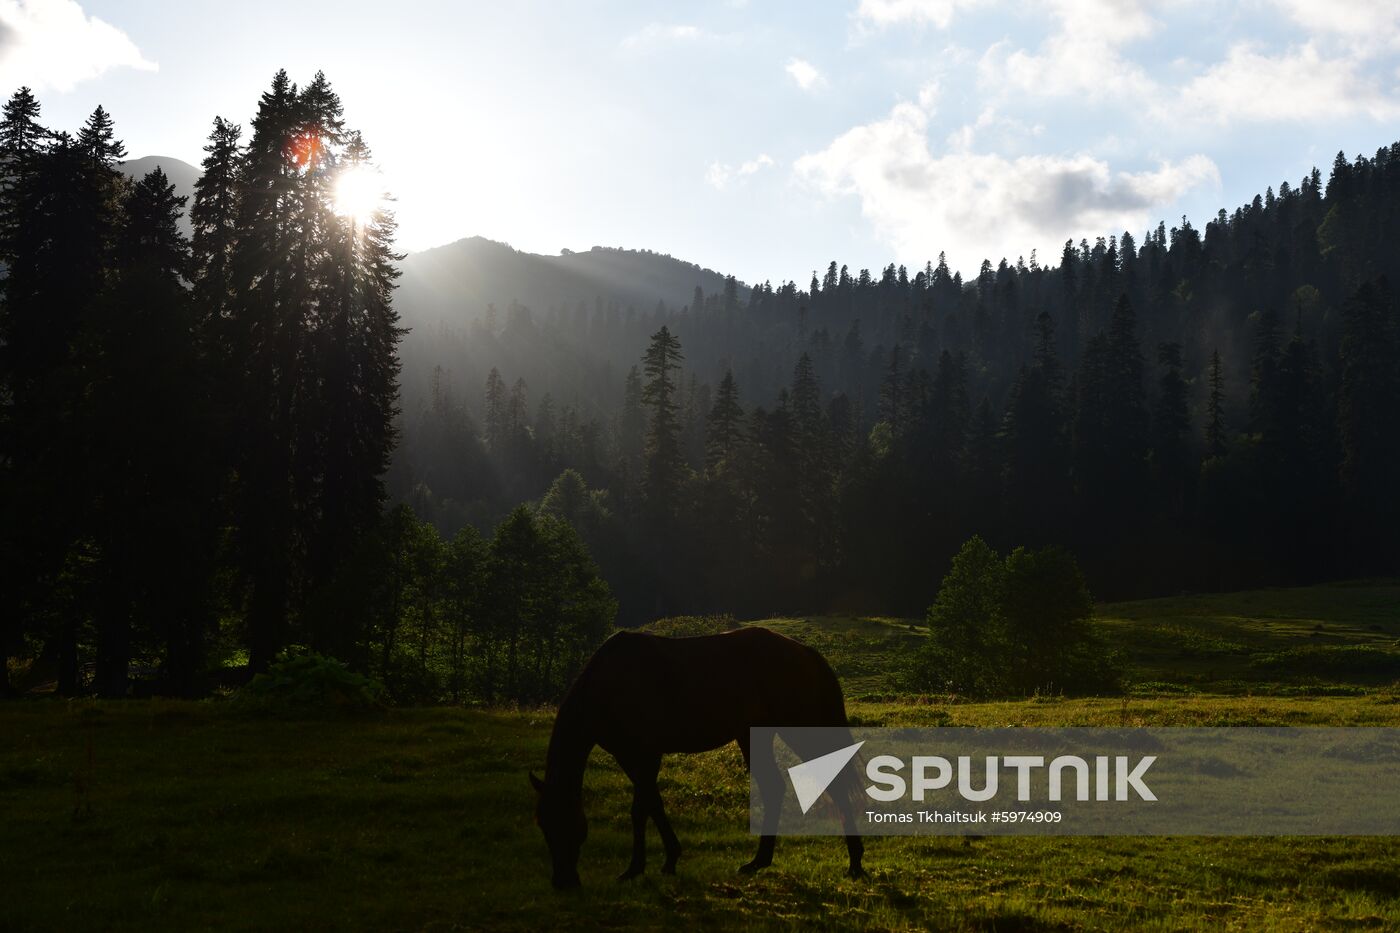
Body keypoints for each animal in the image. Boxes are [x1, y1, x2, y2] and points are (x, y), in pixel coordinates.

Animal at [526, 624, 862, 885]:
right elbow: (648, 806)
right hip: (753, 736)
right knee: (774, 787)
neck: (609, 685)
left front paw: (649, 864)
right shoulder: (629, 756)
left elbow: (644, 807)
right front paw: (653, 863)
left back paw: (855, 864)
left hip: (801, 730)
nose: (563, 881)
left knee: (836, 785)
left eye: (565, 822)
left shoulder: (646, 755)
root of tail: (806, 653)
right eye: (543, 824)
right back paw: (758, 862)